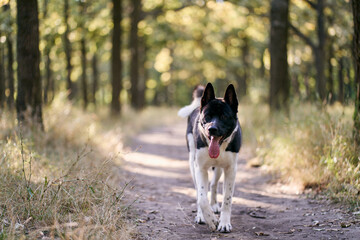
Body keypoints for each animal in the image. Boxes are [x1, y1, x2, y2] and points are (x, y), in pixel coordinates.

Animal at [178, 83, 242, 232]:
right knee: (199, 191)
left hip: (219, 168)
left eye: (224, 116)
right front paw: (211, 219)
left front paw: (224, 223)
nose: (212, 129)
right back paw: (202, 215)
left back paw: (214, 205)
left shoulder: (231, 169)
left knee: (213, 184)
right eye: (207, 116)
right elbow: (202, 198)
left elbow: (227, 199)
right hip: (192, 162)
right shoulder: (200, 168)